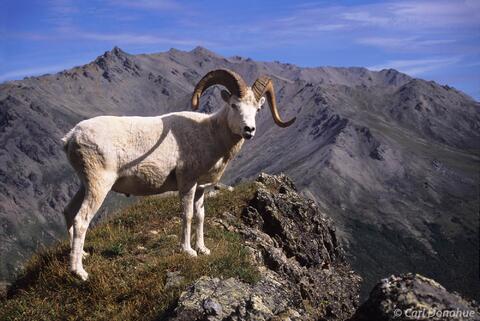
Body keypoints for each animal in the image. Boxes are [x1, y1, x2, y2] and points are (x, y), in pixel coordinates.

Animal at [62, 69, 294, 278]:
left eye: (257, 109)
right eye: (234, 105)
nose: (249, 130)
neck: (210, 134)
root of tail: (71, 136)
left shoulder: (200, 188)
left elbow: (200, 216)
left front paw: (203, 249)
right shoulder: (187, 183)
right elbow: (187, 214)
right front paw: (188, 251)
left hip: (85, 185)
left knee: (68, 212)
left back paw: (82, 254)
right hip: (99, 185)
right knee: (81, 219)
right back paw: (79, 272)